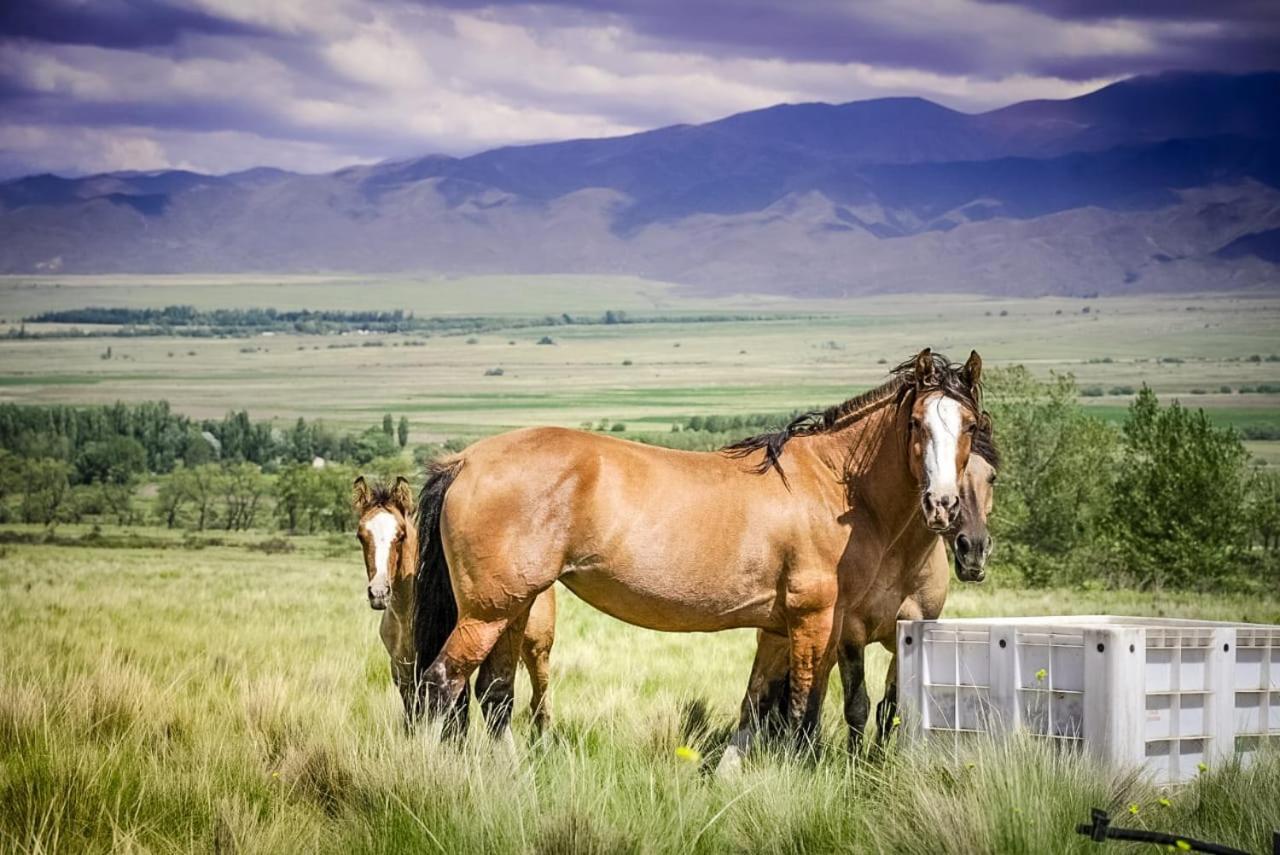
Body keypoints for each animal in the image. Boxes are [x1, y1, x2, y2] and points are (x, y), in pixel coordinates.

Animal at [353, 473, 552, 737]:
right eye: (361, 536)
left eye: (401, 535)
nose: (379, 592)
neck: (406, 615)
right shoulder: (403, 674)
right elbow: (413, 719)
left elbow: (455, 719)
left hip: (537, 653)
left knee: (540, 702)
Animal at [414, 350, 983, 742]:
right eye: (917, 423)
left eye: (970, 426)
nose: (943, 506)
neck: (833, 482)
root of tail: (464, 460)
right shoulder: (817, 619)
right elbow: (802, 710)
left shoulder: (783, 626)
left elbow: (762, 706)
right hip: (487, 612)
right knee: (441, 684)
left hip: (516, 606)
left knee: (493, 694)